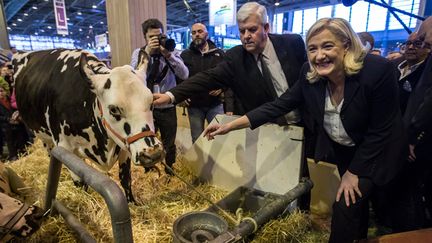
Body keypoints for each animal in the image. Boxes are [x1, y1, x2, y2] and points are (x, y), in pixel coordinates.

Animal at [12, 48, 164, 202]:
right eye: (113, 109)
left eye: (151, 102)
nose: (153, 153)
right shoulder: (66, 149)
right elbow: (80, 185)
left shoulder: (124, 147)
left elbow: (125, 178)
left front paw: (132, 203)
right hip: (44, 137)